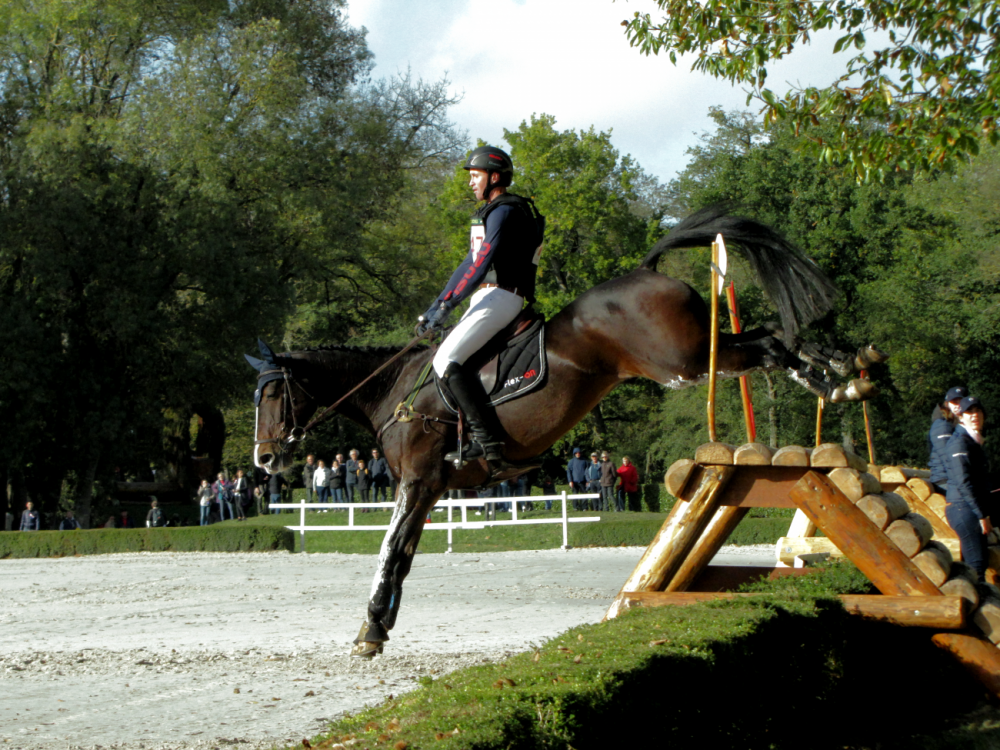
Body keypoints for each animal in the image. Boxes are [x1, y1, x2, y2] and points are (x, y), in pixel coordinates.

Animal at [248, 206, 884, 656]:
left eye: (273, 396)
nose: (263, 461)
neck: (394, 391)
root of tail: (646, 271)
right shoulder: (428, 487)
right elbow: (401, 553)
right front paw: (381, 623)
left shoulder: (417, 479)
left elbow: (389, 548)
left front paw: (371, 627)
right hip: (694, 352)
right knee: (770, 337)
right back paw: (844, 374)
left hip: (679, 360)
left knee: (767, 344)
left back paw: (840, 378)